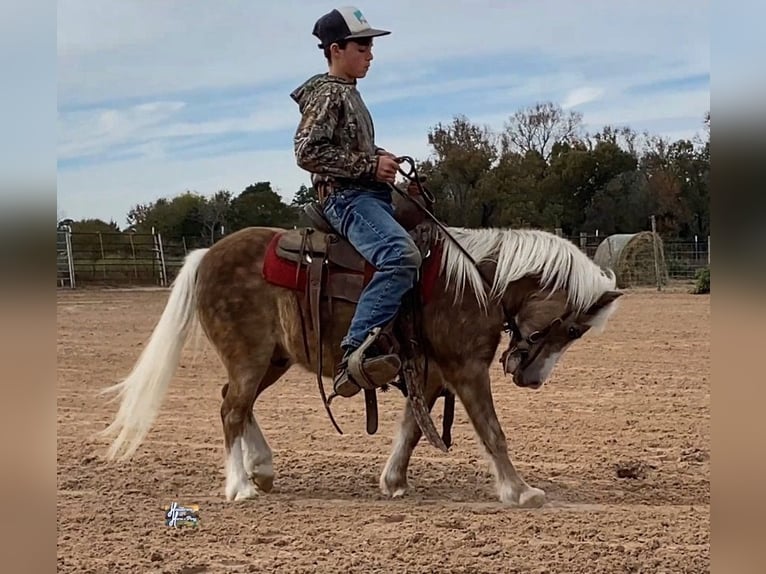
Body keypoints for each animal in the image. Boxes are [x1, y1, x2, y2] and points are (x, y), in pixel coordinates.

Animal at [99, 212, 620, 508]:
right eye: (574, 328)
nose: (530, 377)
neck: (476, 280)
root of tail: (206, 255)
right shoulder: (466, 368)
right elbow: (492, 431)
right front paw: (519, 491)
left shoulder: (430, 374)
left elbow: (412, 429)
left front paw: (393, 481)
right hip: (250, 357)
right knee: (232, 408)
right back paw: (240, 486)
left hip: (273, 360)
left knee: (236, 403)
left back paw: (262, 469)